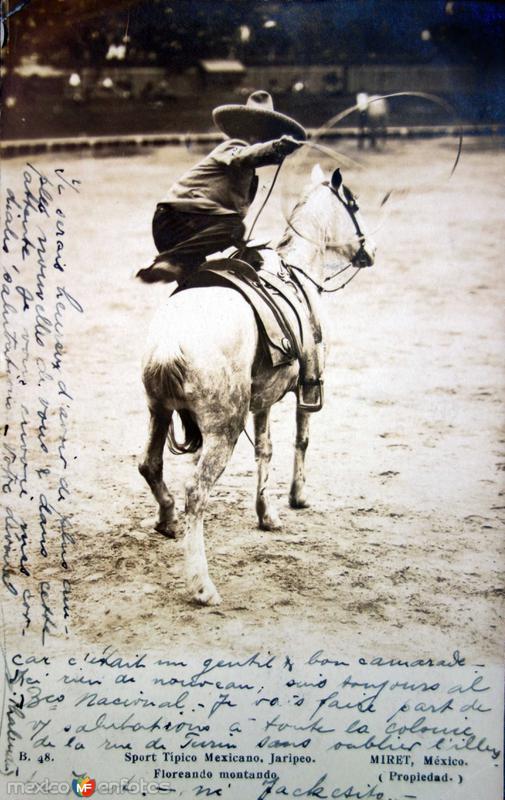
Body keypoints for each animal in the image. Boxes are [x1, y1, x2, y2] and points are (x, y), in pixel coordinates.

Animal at [138, 162, 374, 604]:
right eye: (353, 204)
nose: (369, 251)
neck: (298, 270)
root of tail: (169, 342)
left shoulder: (262, 399)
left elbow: (264, 449)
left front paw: (267, 514)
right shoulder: (307, 388)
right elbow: (301, 440)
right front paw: (297, 497)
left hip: (158, 412)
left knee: (150, 464)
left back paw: (167, 519)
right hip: (223, 429)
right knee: (196, 493)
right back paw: (202, 584)